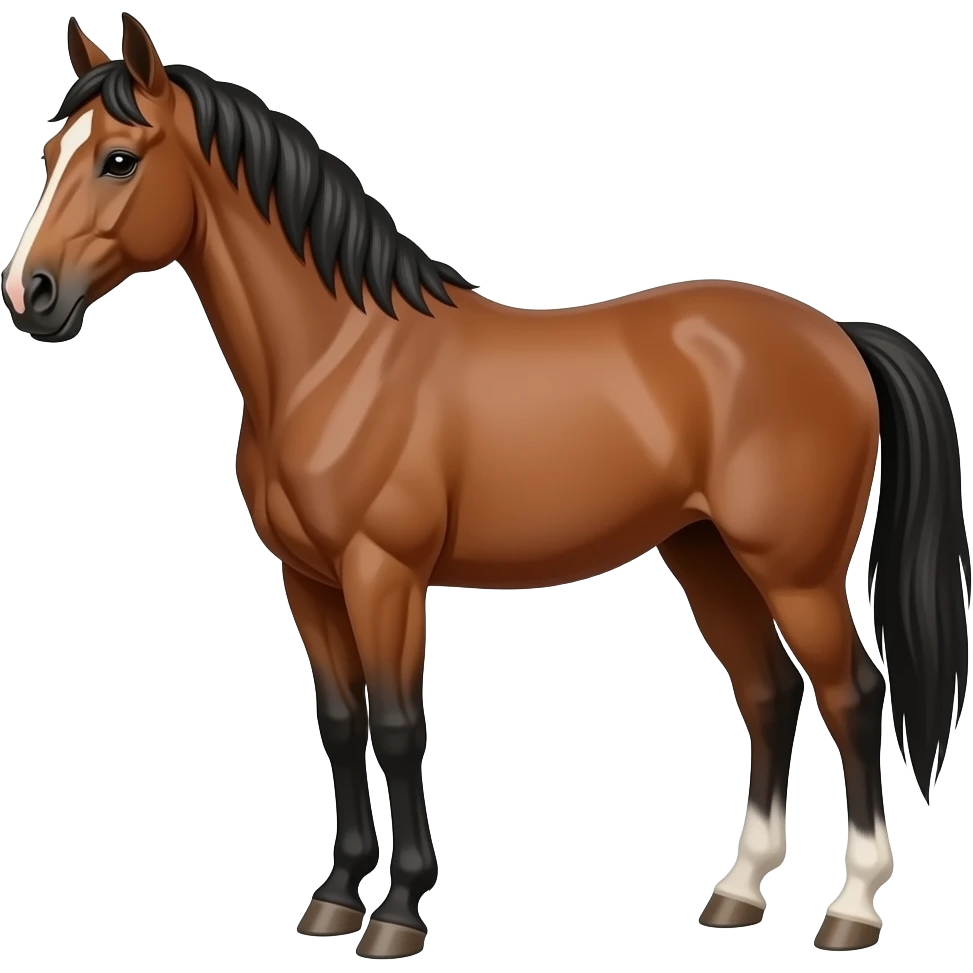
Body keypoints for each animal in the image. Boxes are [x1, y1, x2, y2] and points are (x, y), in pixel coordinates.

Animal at [3, 13, 969, 959]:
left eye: (119, 158)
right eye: (51, 151)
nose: (29, 293)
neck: (336, 358)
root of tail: (836, 334)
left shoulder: (383, 574)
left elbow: (398, 725)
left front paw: (398, 911)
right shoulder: (308, 580)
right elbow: (340, 721)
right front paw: (333, 898)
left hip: (794, 570)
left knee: (853, 696)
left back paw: (852, 907)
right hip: (706, 554)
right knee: (767, 692)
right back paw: (737, 891)